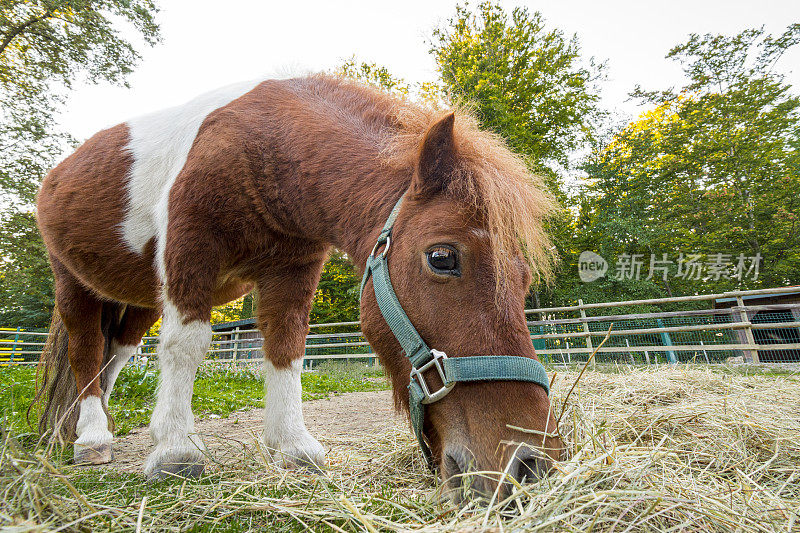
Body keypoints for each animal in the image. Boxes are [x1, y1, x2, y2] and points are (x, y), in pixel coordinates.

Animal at [36, 72, 564, 496]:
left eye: (524, 278)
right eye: (442, 257)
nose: (532, 465)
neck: (264, 150)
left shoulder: (292, 269)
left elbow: (286, 348)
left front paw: (292, 447)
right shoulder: (191, 254)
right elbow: (185, 346)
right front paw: (175, 450)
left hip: (139, 298)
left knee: (117, 355)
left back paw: (97, 421)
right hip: (73, 284)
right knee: (86, 353)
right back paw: (92, 436)